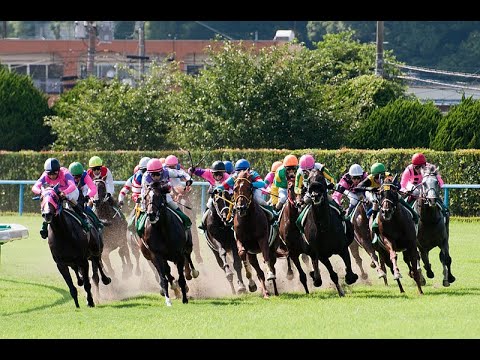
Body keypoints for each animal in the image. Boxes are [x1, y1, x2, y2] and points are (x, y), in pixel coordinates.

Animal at [232, 169, 278, 298]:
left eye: (249, 188)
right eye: (235, 189)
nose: (241, 208)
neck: (247, 220)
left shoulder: (262, 239)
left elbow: (265, 256)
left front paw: (270, 274)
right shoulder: (240, 240)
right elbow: (242, 253)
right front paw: (251, 284)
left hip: (273, 248)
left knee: (272, 263)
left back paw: (274, 288)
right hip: (252, 254)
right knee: (259, 272)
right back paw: (265, 292)